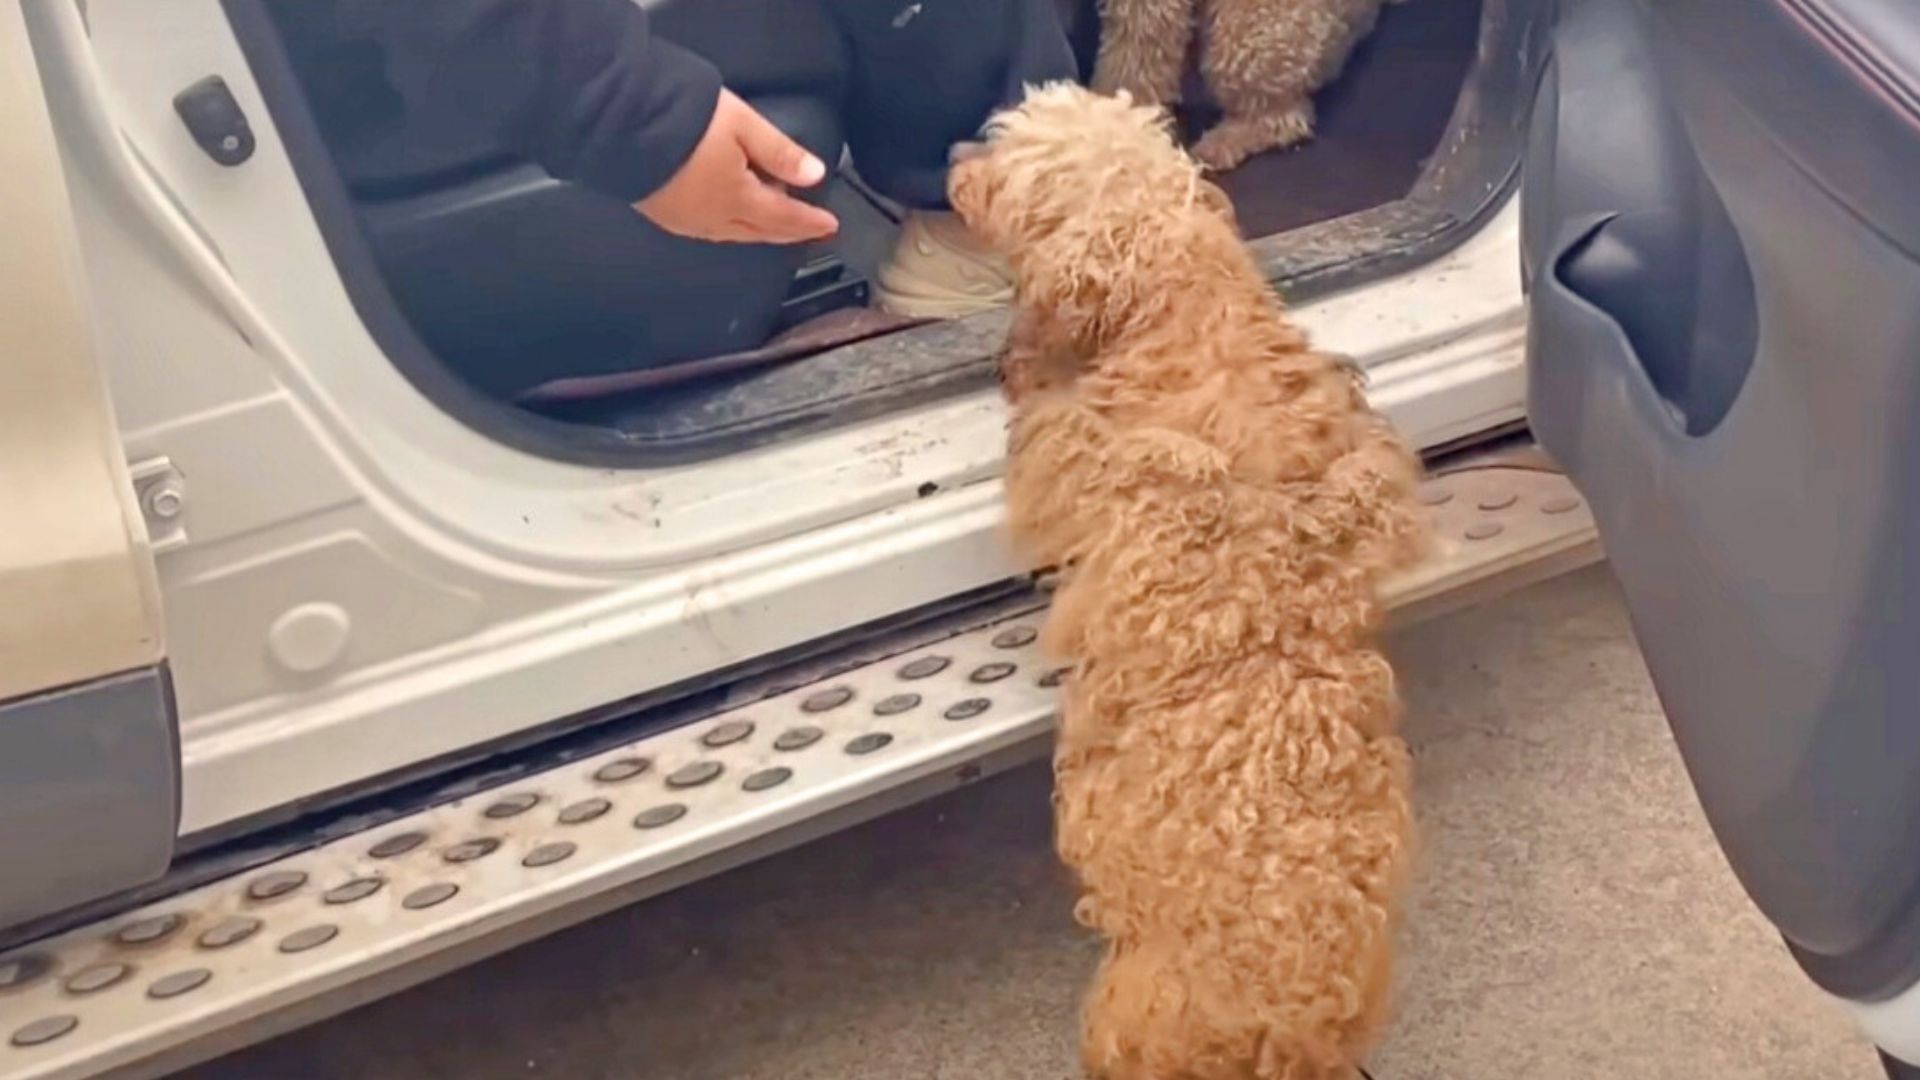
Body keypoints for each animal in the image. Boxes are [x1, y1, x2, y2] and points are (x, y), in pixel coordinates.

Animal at [948, 82, 1428, 1076]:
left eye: (1012, 165)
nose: (952, 164)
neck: (1181, 303)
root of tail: (1295, 1027)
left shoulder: (1073, 460)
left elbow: (1045, 423)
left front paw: (1024, 360)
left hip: (1129, 1017)